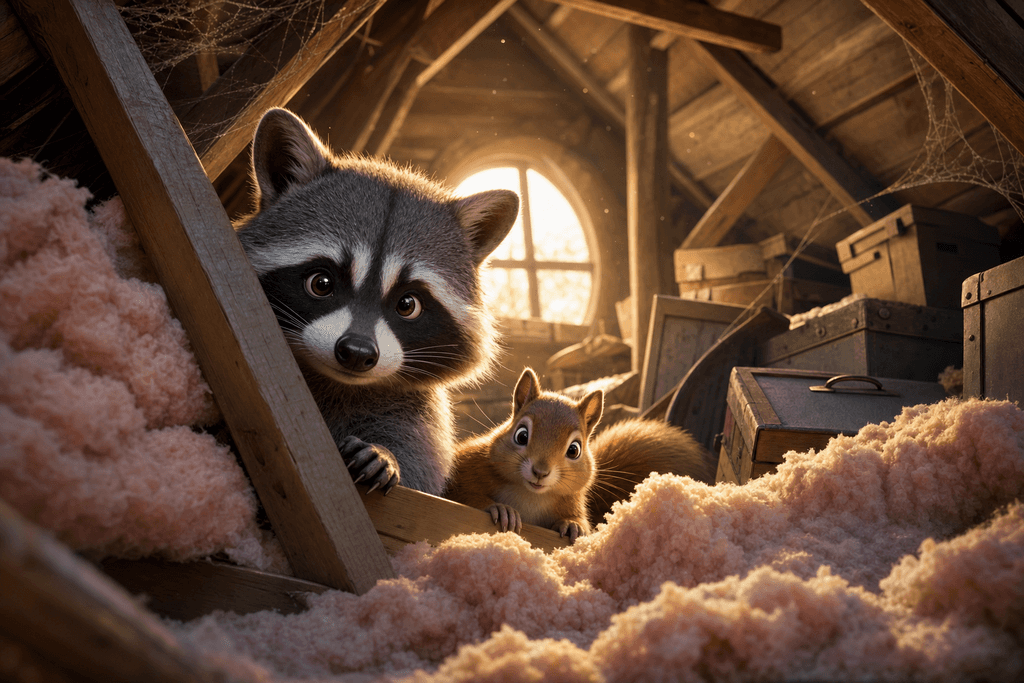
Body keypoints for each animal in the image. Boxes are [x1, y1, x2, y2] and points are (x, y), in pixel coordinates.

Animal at [235, 108, 518, 497]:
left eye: (407, 305)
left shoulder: (416, 413)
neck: (339, 383)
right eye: (321, 283)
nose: (356, 352)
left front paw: (386, 454)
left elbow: (420, 464)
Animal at [446, 367, 717, 541]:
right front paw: (501, 509)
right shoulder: (469, 464)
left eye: (574, 450)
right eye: (521, 435)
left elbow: (581, 520)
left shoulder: (573, 501)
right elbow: (464, 494)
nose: (540, 472)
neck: (530, 495)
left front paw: (574, 526)